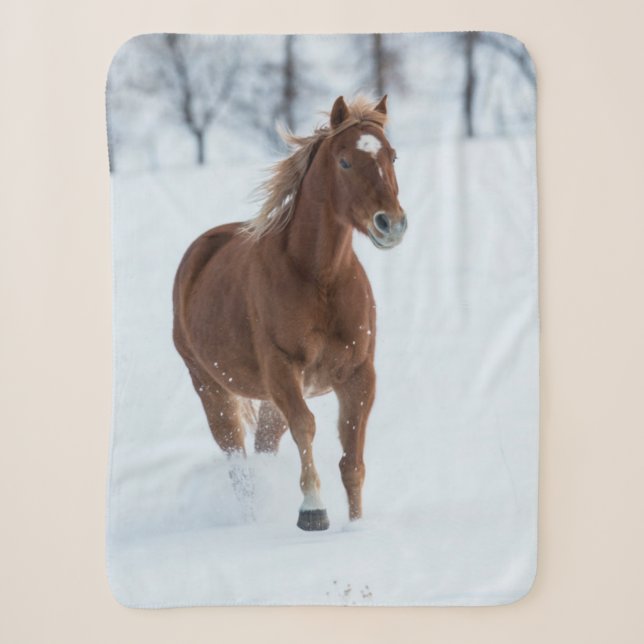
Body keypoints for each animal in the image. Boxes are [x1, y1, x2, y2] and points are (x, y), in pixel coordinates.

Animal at [172, 95, 407, 531]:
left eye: (392, 156)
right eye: (345, 162)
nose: (391, 224)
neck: (319, 277)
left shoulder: (358, 374)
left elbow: (352, 460)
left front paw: (356, 526)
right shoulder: (282, 368)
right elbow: (306, 427)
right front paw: (313, 512)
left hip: (267, 399)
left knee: (264, 446)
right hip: (211, 388)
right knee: (237, 461)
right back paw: (250, 521)